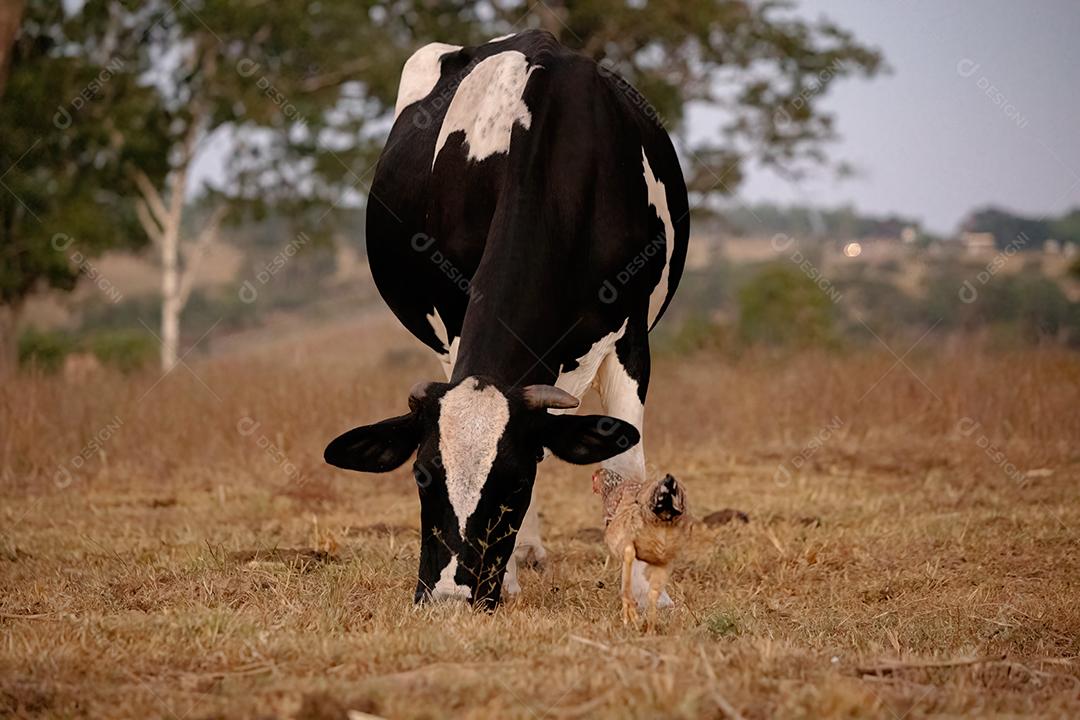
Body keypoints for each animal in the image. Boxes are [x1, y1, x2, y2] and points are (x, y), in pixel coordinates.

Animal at [324, 29, 689, 608]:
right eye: (421, 473)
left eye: (515, 480)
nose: (450, 596)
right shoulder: (455, 321)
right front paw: (512, 577)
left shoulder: (631, 337)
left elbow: (623, 467)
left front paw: (646, 592)